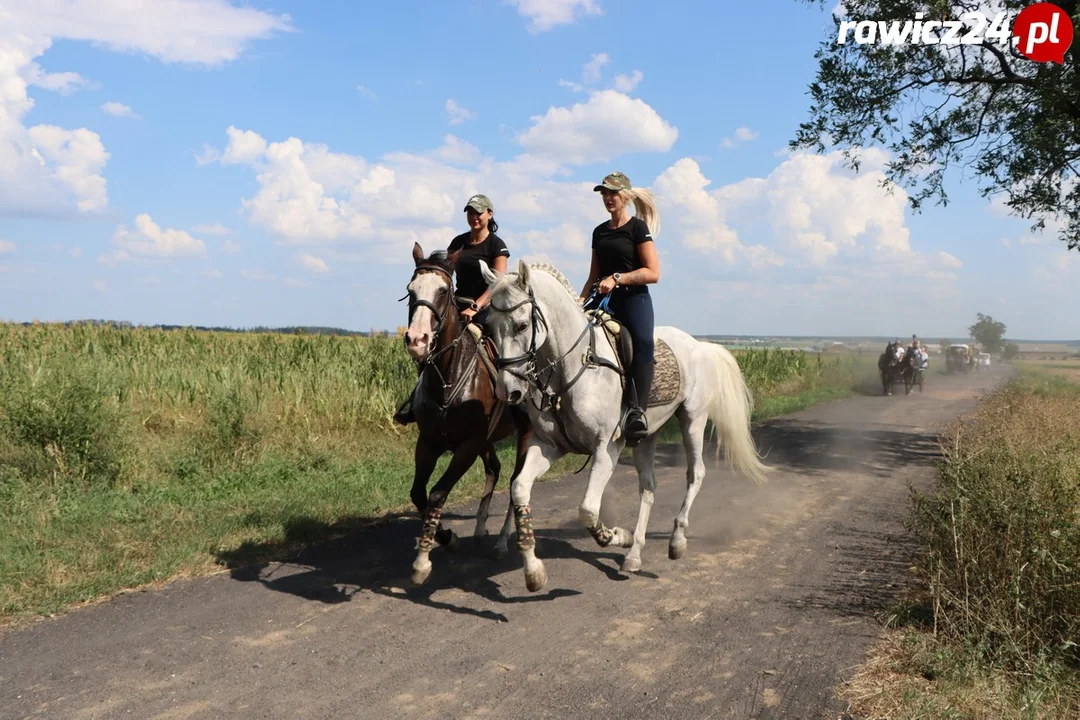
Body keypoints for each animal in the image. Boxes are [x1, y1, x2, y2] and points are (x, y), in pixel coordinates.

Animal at [397, 241, 531, 587]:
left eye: (444, 290)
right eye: (410, 290)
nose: (417, 340)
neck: (448, 375)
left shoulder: (468, 446)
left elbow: (437, 493)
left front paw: (430, 554)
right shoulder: (429, 442)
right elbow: (418, 493)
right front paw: (445, 537)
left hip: (523, 434)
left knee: (515, 480)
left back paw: (500, 542)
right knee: (495, 468)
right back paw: (482, 527)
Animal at [479, 259, 768, 591]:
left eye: (522, 326)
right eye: (489, 327)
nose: (508, 391)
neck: (571, 368)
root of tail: (699, 346)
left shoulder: (606, 449)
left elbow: (587, 511)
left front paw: (618, 535)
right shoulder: (549, 446)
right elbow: (519, 489)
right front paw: (533, 571)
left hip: (692, 420)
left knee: (696, 474)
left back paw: (676, 540)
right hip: (647, 436)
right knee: (649, 487)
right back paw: (634, 554)